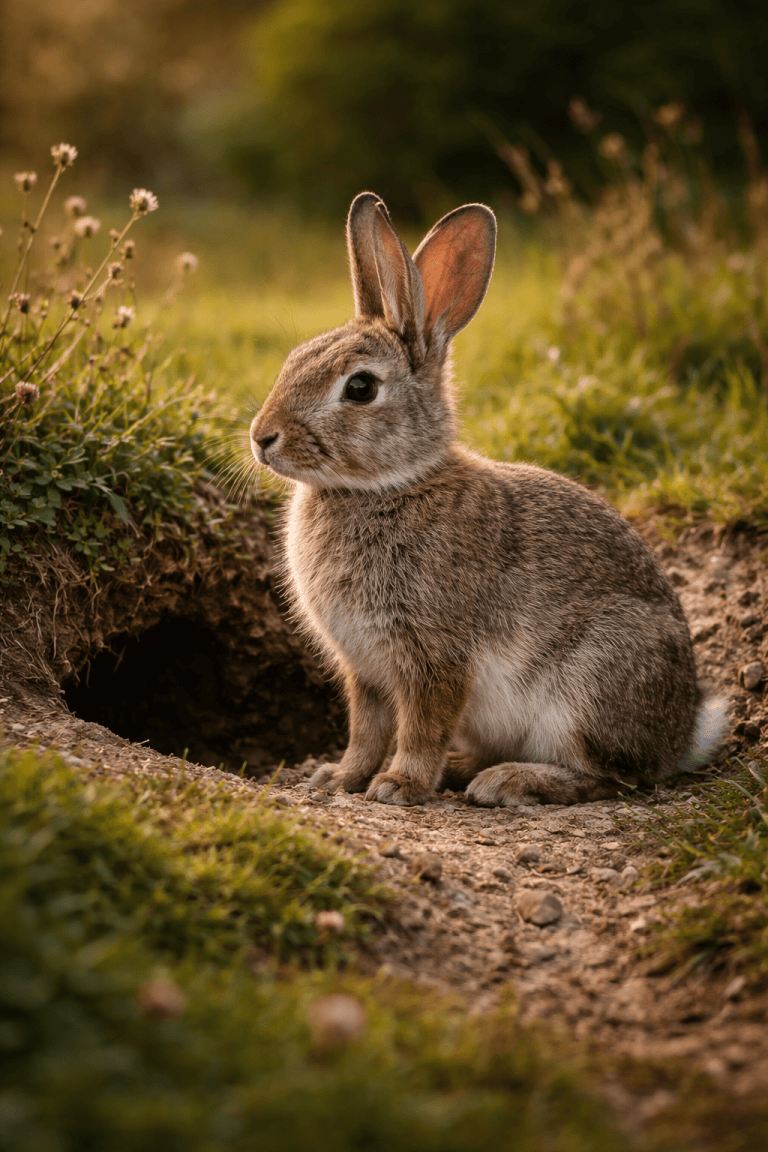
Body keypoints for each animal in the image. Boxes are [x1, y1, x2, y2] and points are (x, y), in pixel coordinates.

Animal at [249, 191, 728, 808]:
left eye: (360, 388)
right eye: (295, 357)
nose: (261, 438)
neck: (389, 484)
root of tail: (682, 734)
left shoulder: (435, 656)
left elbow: (421, 727)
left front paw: (399, 785)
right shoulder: (367, 670)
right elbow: (365, 730)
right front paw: (339, 777)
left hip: (592, 683)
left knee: (611, 776)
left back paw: (507, 782)